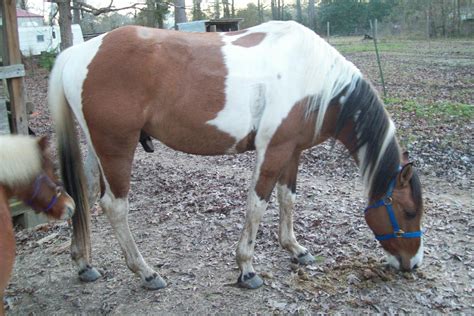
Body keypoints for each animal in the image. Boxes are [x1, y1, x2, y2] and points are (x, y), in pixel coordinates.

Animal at [49, 21, 426, 290]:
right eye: (408, 212)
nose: (413, 264)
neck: (316, 79)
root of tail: (80, 51)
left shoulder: (291, 151)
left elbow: (287, 199)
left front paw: (295, 249)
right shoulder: (272, 151)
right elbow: (257, 205)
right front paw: (246, 269)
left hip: (99, 148)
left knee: (83, 194)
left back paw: (84, 264)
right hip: (117, 148)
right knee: (114, 206)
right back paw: (146, 273)